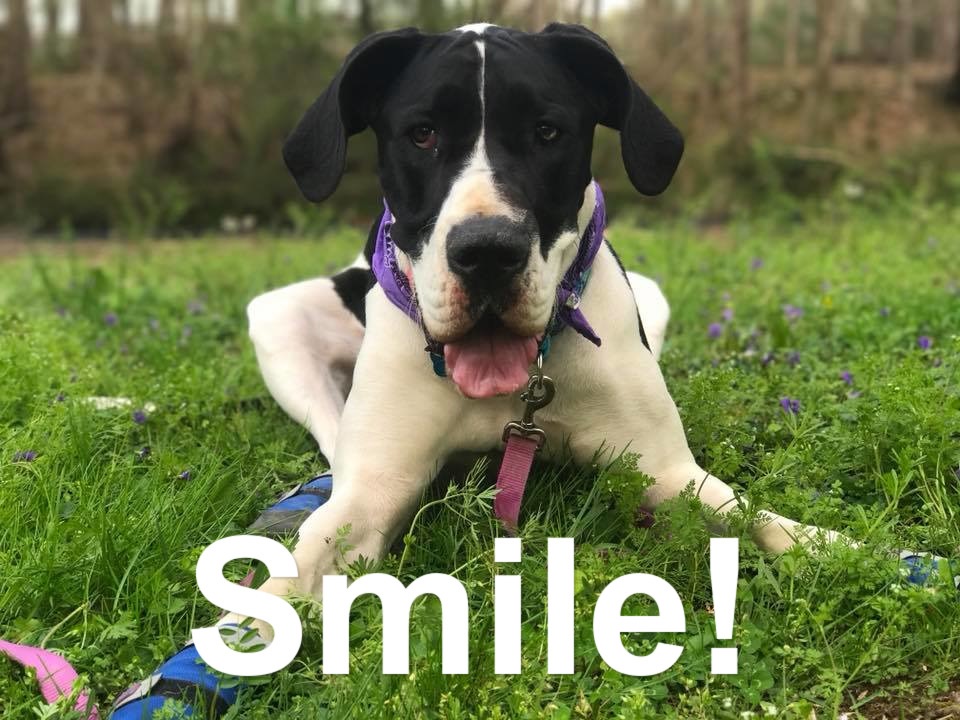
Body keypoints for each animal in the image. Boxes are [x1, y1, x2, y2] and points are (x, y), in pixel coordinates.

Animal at [246, 22, 840, 604]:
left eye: (547, 132)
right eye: (423, 133)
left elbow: (752, 516)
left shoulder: (667, 471)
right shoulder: (376, 487)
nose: (487, 252)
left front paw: (832, 546)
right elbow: (292, 579)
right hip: (277, 320)